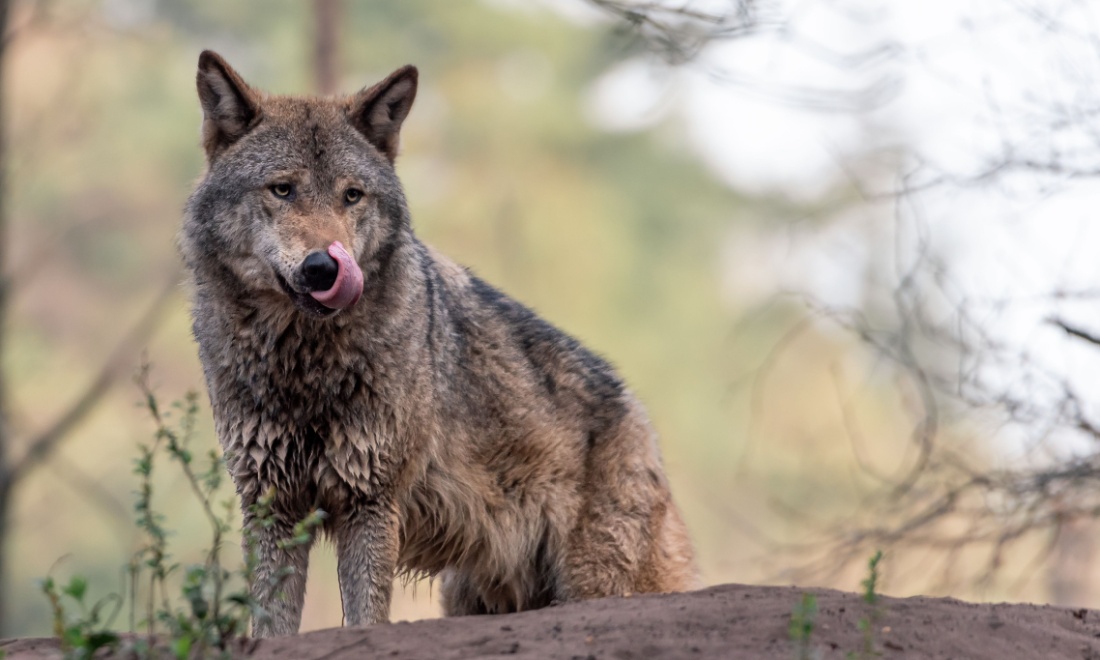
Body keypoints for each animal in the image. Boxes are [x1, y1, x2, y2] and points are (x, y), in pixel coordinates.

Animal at [180, 48, 695, 638]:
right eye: (282, 189)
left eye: (352, 196)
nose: (324, 268)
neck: (304, 364)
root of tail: (638, 413)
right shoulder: (271, 505)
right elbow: (270, 628)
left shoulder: (370, 503)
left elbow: (365, 620)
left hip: (590, 584)